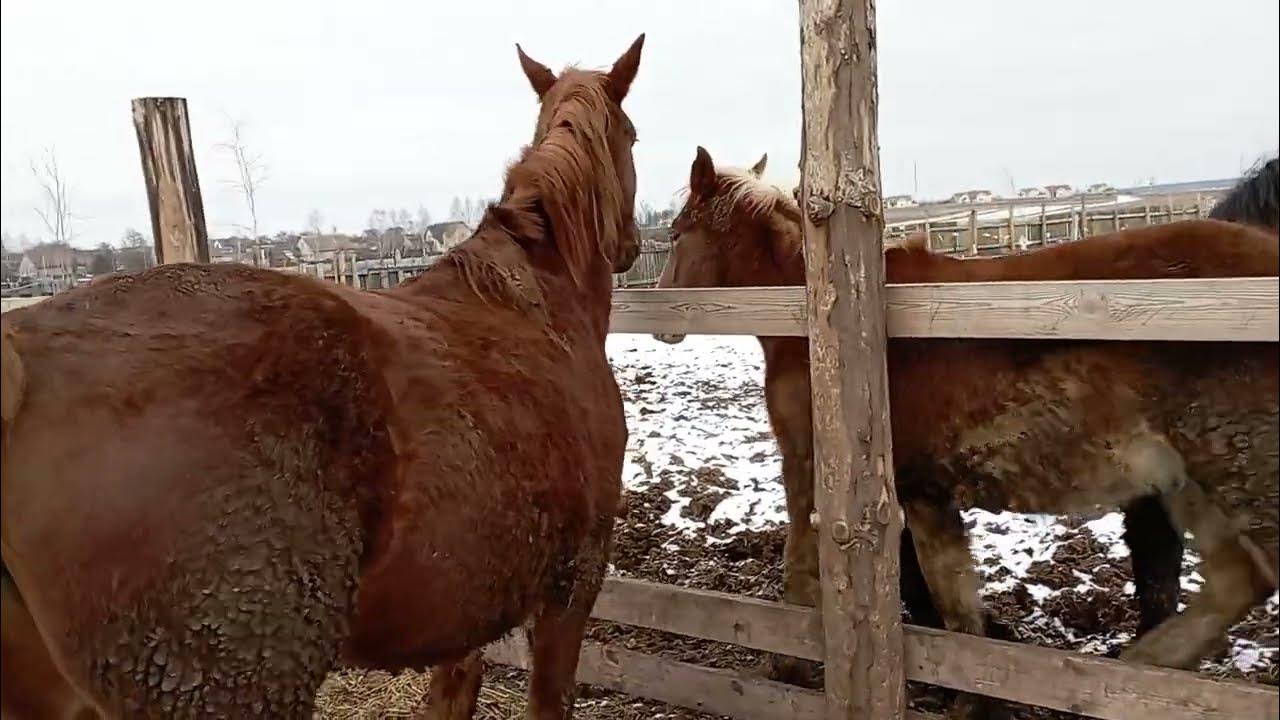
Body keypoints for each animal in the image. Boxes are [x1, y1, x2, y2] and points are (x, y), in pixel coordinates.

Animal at [0, 35, 645, 720]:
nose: (631, 246)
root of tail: (21, 364)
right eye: (632, 136)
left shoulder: (468, 610)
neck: (538, 297)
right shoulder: (571, 589)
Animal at [655, 147, 1278, 715]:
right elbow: (953, 606)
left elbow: (815, 566)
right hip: (1191, 483)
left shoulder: (819, 470)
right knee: (1236, 582)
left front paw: (791, 664)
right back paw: (1128, 678)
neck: (809, 323)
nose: (662, 316)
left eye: (678, 233)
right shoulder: (927, 496)